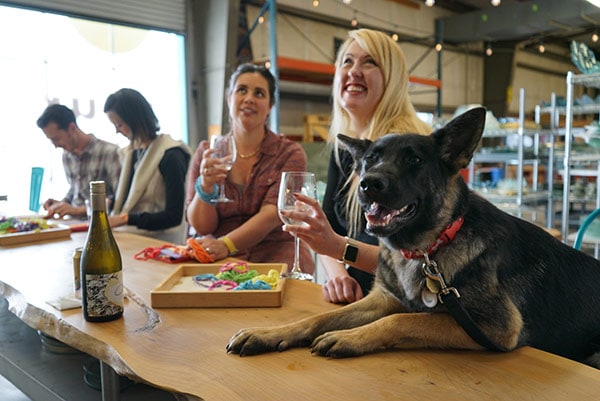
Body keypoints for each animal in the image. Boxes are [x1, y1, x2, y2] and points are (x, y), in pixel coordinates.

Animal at [226, 107, 600, 368]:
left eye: (415, 160)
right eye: (370, 160)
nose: (368, 184)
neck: (429, 248)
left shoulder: (494, 328)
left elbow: (402, 319)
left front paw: (349, 338)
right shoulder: (381, 299)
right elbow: (317, 318)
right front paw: (270, 334)